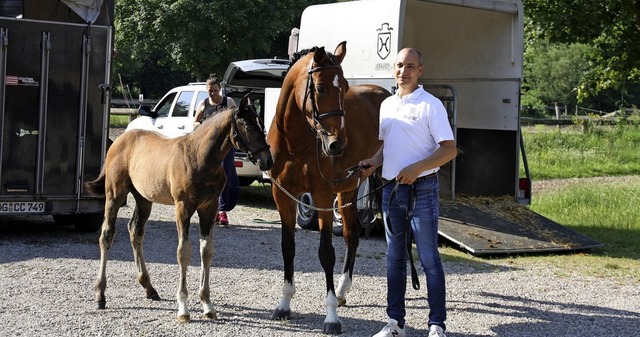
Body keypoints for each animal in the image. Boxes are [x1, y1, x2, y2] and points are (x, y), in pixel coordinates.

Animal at [85, 96, 272, 322]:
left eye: (261, 125)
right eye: (248, 126)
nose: (268, 161)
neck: (200, 159)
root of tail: (120, 140)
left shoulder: (209, 208)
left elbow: (206, 250)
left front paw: (207, 304)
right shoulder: (183, 207)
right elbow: (183, 251)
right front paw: (183, 308)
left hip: (144, 199)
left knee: (135, 232)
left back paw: (149, 288)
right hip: (114, 195)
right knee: (107, 235)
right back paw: (100, 295)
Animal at [266, 40, 390, 332]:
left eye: (344, 87)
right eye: (320, 88)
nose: (337, 144)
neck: (295, 144)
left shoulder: (322, 196)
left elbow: (326, 253)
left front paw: (331, 317)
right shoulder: (283, 195)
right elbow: (288, 247)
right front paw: (284, 305)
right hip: (349, 188)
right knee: (352, 234)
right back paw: (343, 291)